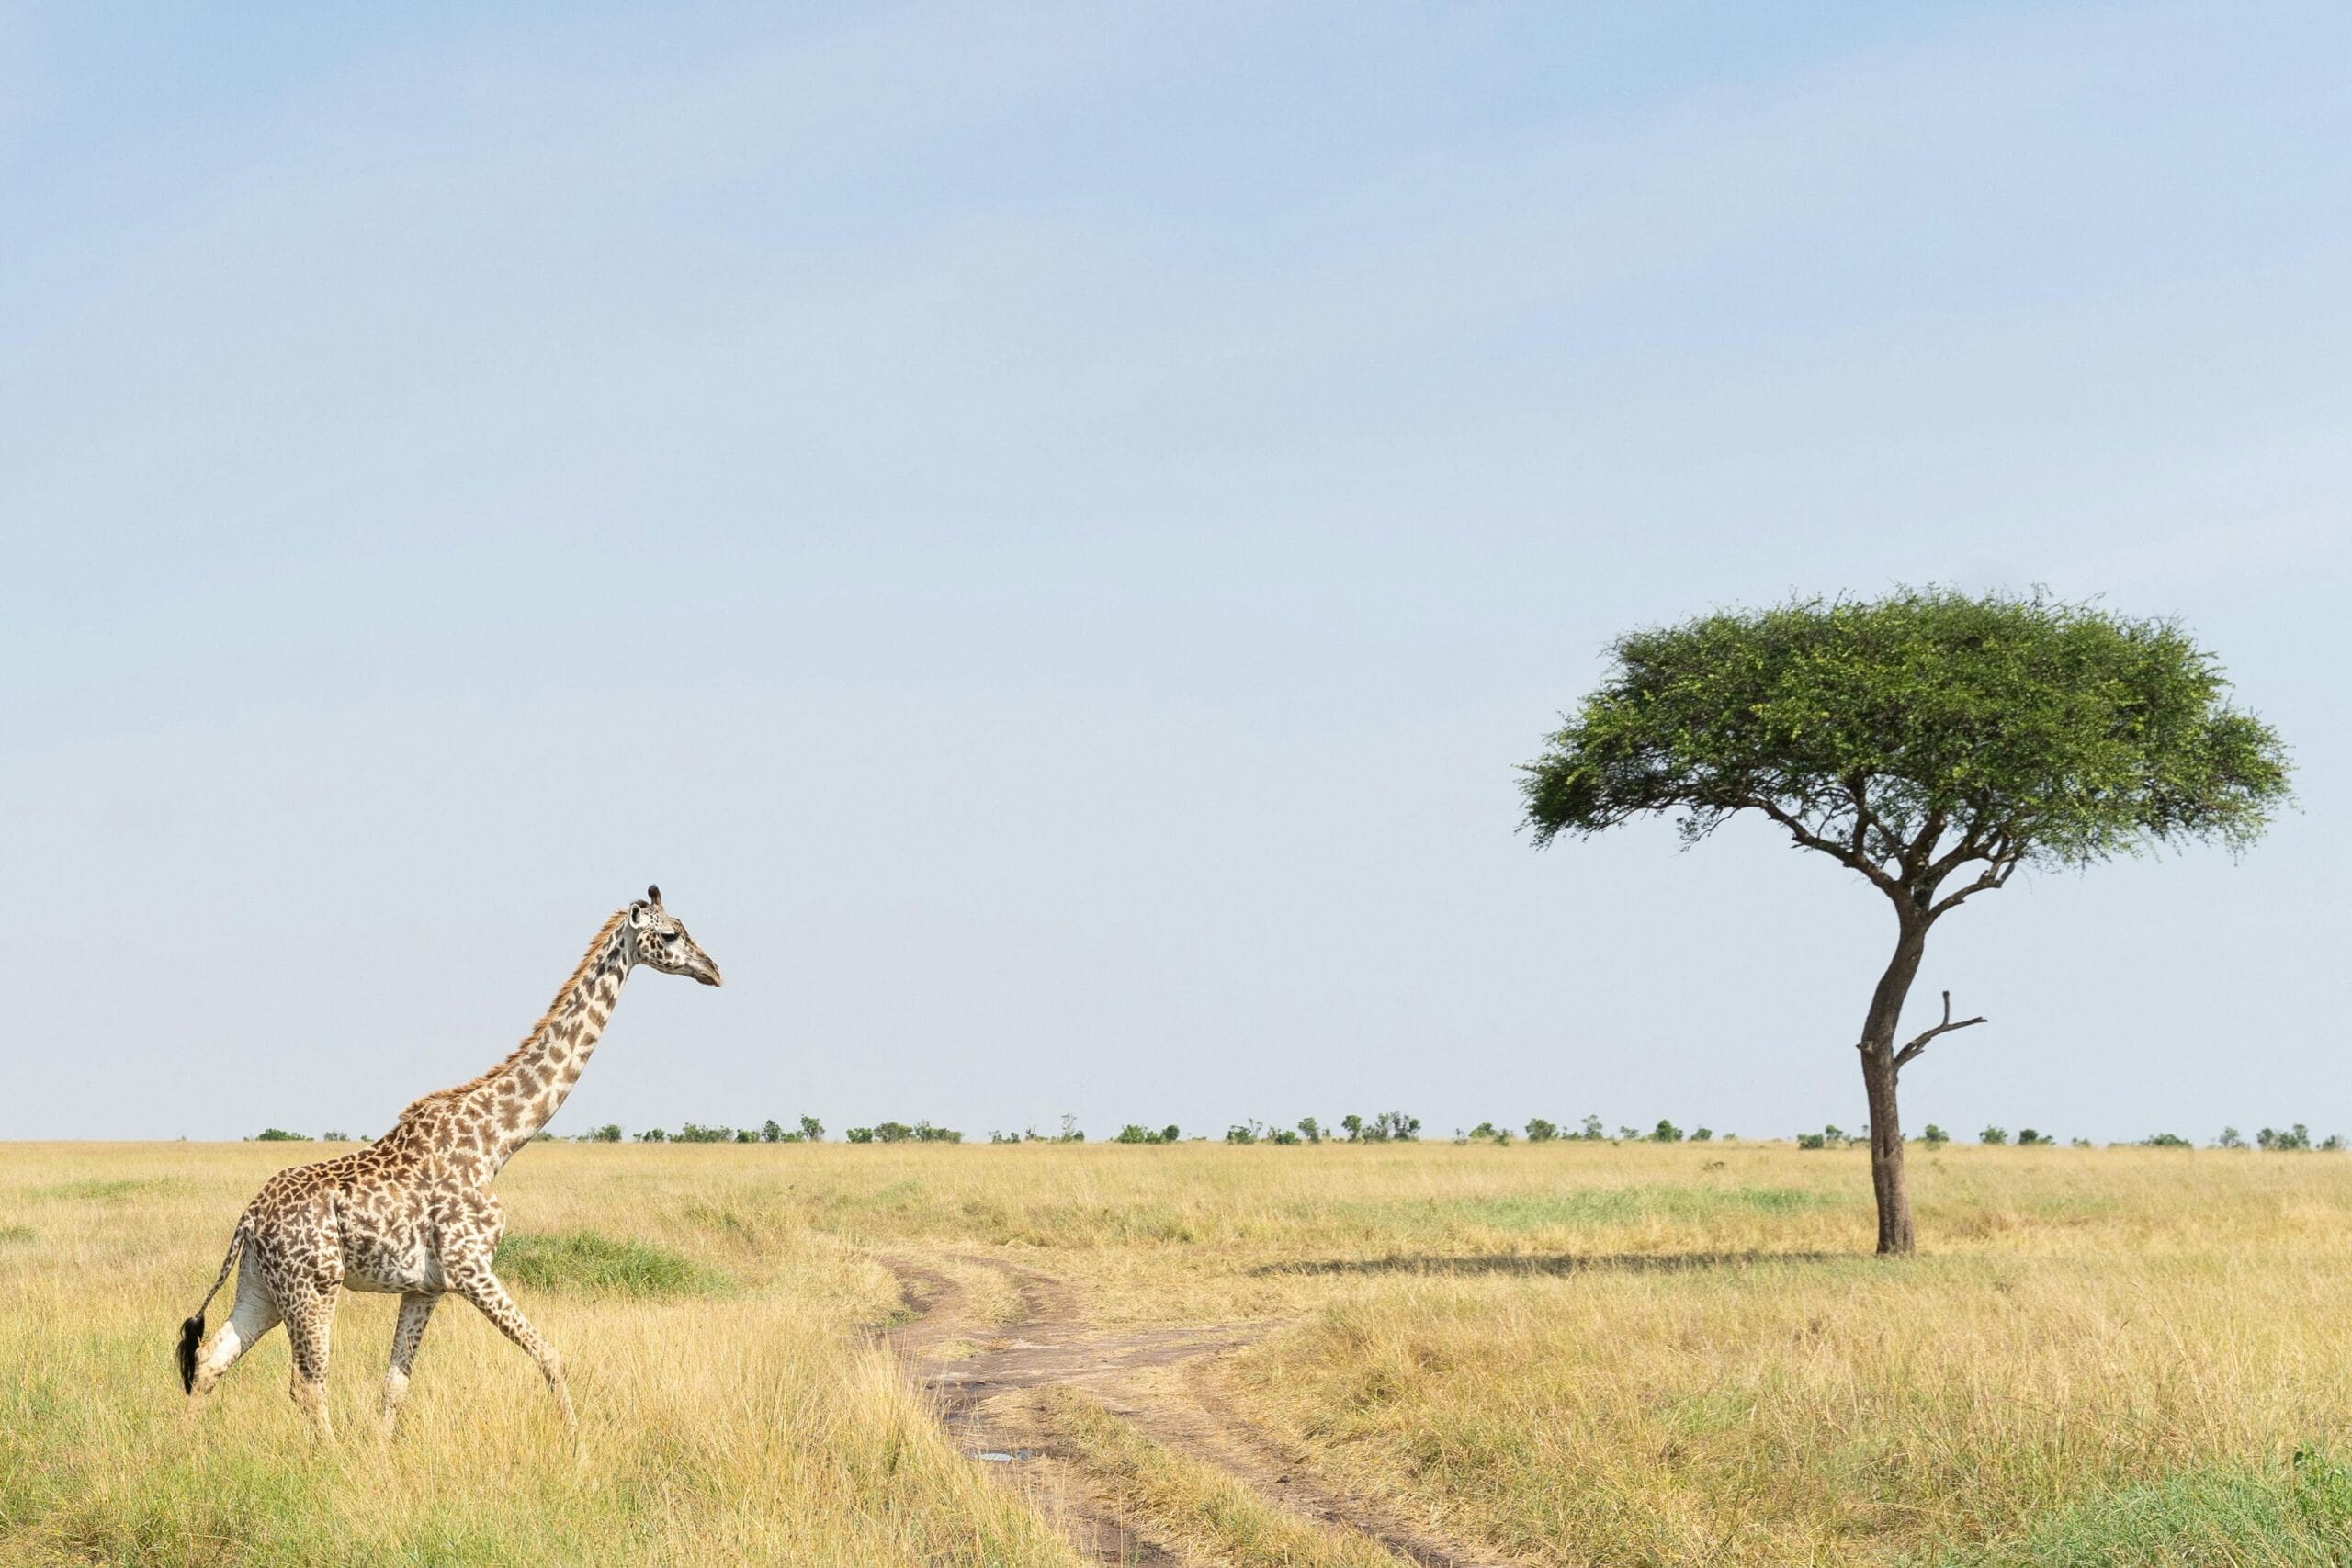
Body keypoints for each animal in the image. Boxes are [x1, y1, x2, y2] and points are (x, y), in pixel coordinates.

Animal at [177, 888, 715, 1438]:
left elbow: (395, 1386)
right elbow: (550, 1356)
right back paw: (330, 1457)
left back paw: (188, 1452)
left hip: (262, 1287)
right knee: (305, 1384)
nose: (713, 970)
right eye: (671, 934)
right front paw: (578, 1447)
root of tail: (248, 1218)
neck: (495, 1142)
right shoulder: (469, 1265)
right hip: (313, 1285)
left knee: (211, 1361)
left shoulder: (426, 1287)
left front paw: (383, 1457)